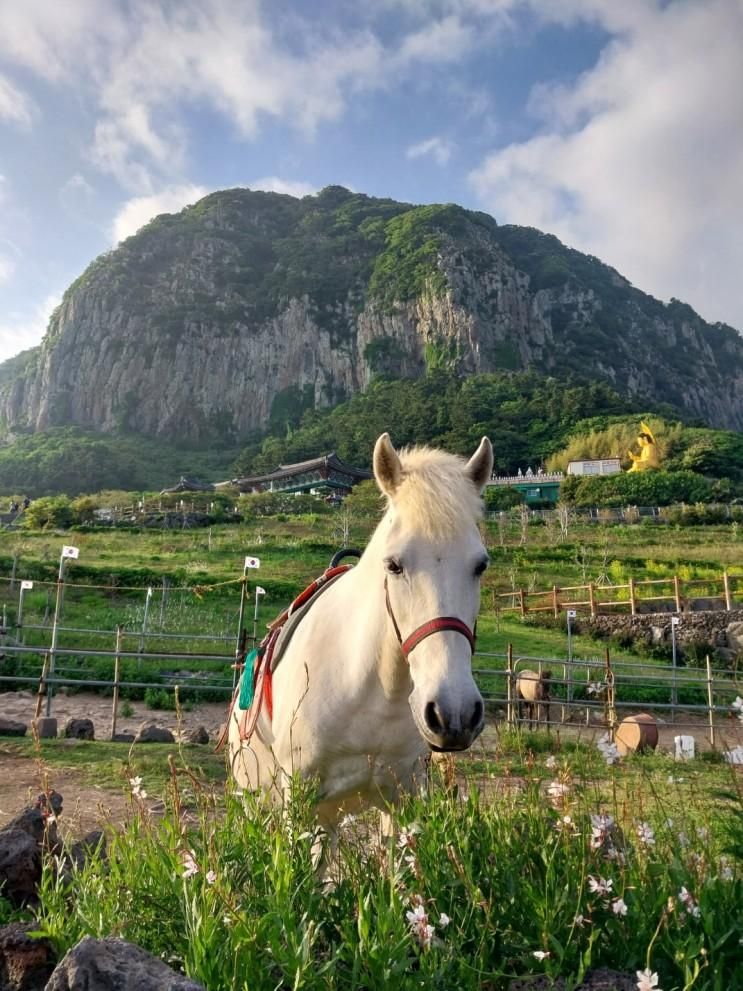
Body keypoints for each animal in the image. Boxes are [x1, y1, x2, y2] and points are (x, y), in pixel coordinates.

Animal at [228, 434, 494, 836]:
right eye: (394, 565)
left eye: (480, 565)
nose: (454, 713)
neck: (370, 687)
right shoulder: (299, 800)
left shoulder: (403, 798)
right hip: (254, 803)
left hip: (330, 815)